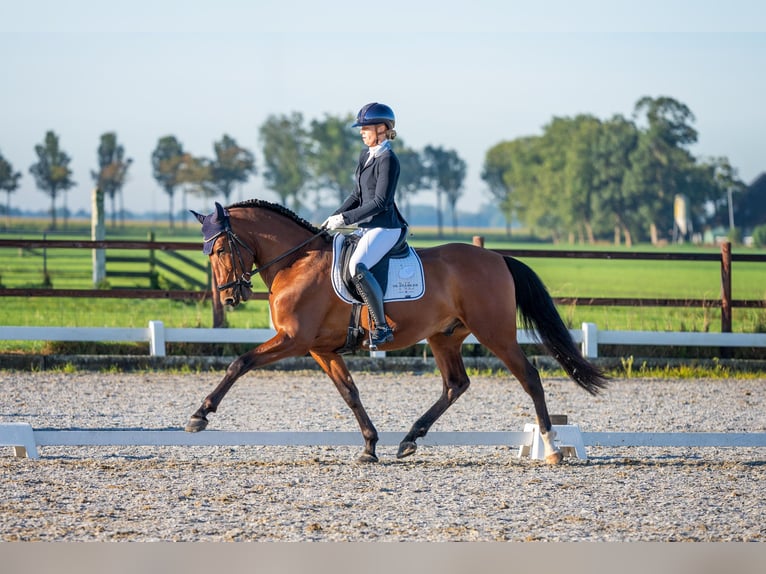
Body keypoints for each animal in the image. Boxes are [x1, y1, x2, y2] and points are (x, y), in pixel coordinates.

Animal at [186, 200, 608, 466]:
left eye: (220, 249)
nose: (231, 296)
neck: (296, 262)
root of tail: (497, 258)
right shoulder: (322, 350)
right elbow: (350, 393)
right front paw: (370, 446)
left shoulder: (294, 340)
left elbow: (239, 363)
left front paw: (200, 415)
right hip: (444, 336)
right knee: (455, 384)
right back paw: (409, 439)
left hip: (495, 333)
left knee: (530, 377)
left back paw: (551, 447)